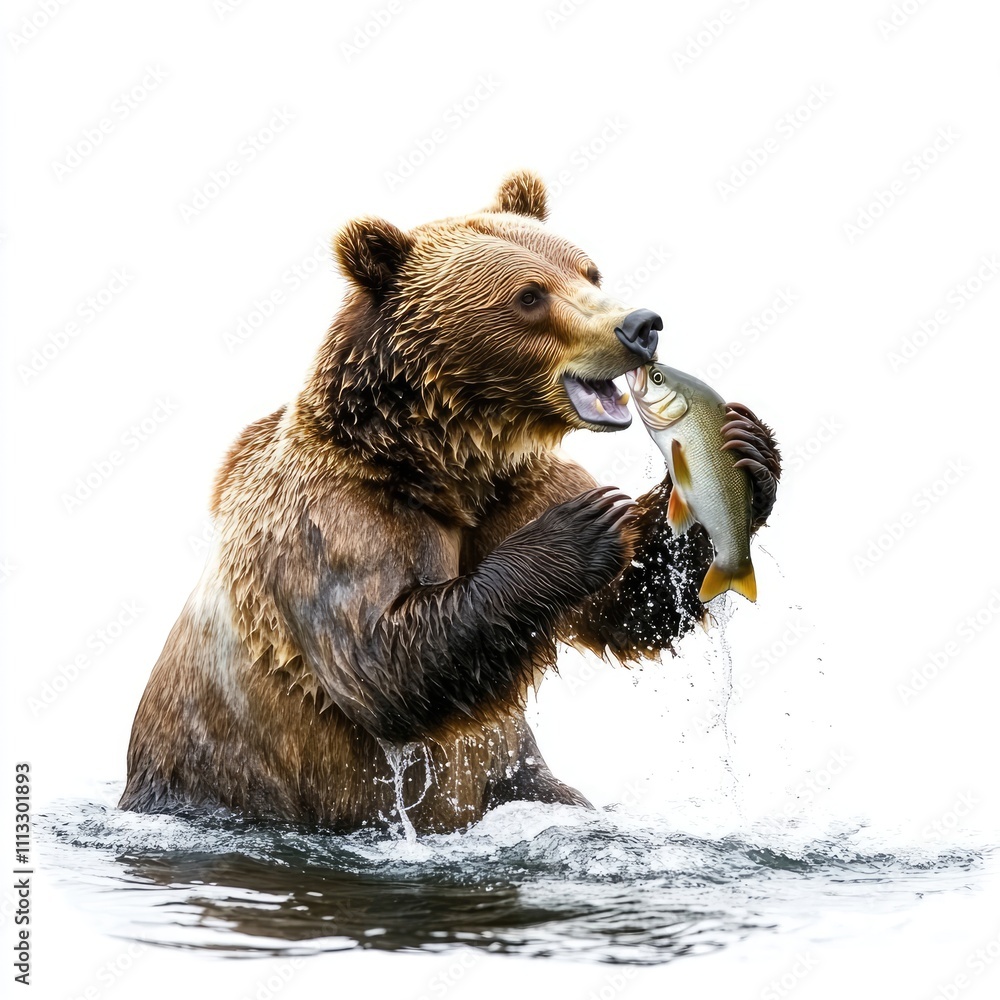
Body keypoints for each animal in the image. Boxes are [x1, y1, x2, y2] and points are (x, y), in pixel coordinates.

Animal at [119, 170, 780, 833]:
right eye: (529, 295)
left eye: (590, 271)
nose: (641, 325)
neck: (439, 465)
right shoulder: (331, 519)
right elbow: (381, 662)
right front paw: (579, 530)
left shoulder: (516, 485)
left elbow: (629, 604)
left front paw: (748, 453)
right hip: (240, 781)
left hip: (513, 779)